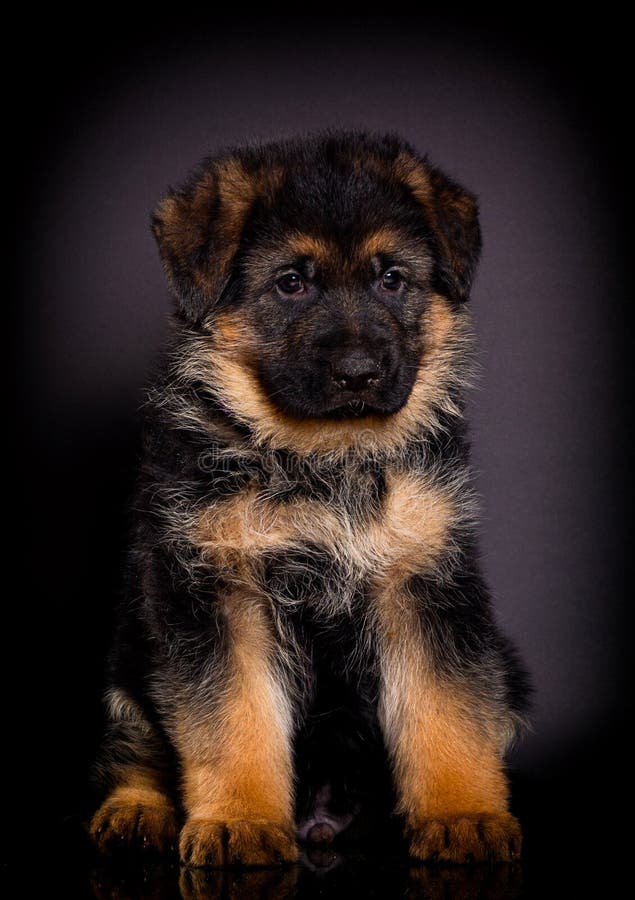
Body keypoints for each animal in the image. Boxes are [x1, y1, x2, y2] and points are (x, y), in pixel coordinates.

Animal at [88, 132, 528, 864]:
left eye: (391, 279)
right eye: (291, 283)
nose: (359, 373)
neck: (324, 457)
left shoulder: (426, 579)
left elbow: (448, 709)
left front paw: (462, 812)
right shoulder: (214, 586)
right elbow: (229, 715)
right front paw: (239, 820)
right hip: (130, 651)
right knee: (135, 741)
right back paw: (135, 810)